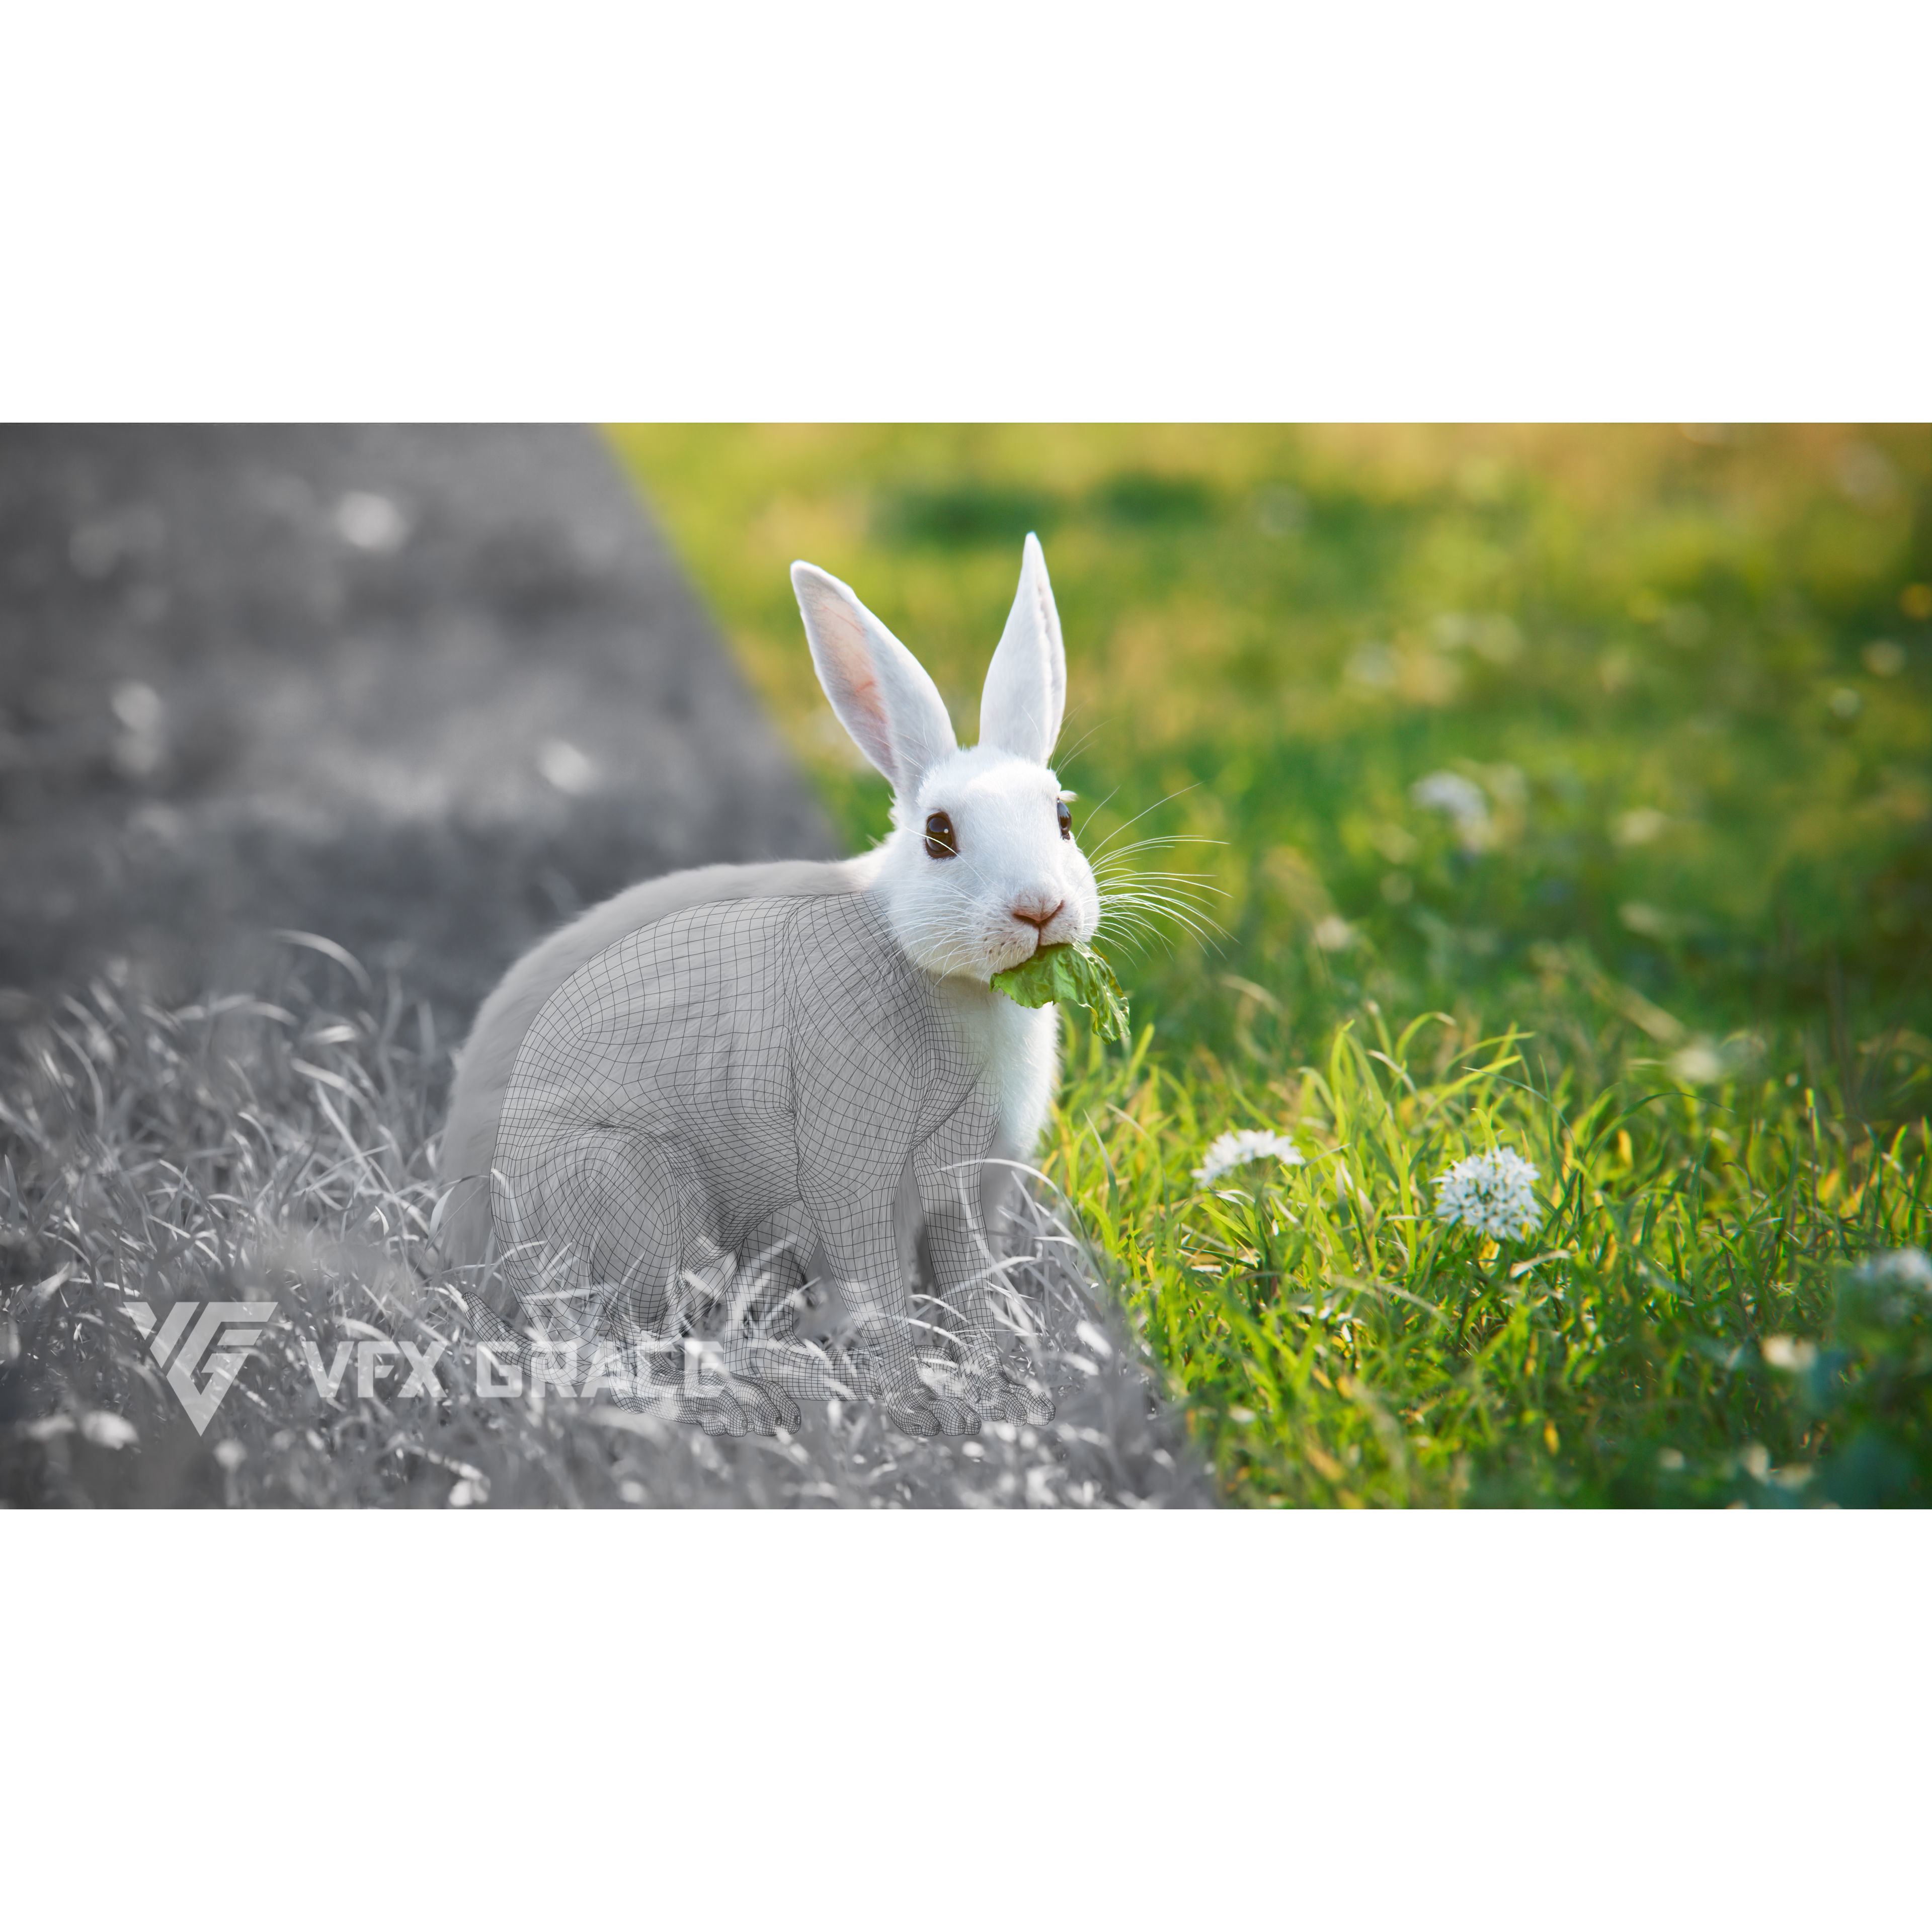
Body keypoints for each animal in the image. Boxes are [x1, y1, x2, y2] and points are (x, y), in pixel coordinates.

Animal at [435, 533, 1101, 1438]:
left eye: (1063, 817)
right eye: (938, 835)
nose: (1040, 908)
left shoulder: (971, 1191)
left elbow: (973, 1284)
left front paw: (1004, 1376)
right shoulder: (852, 1166)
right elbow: (879, 1286)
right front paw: (910, 1394)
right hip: (626, 1186)